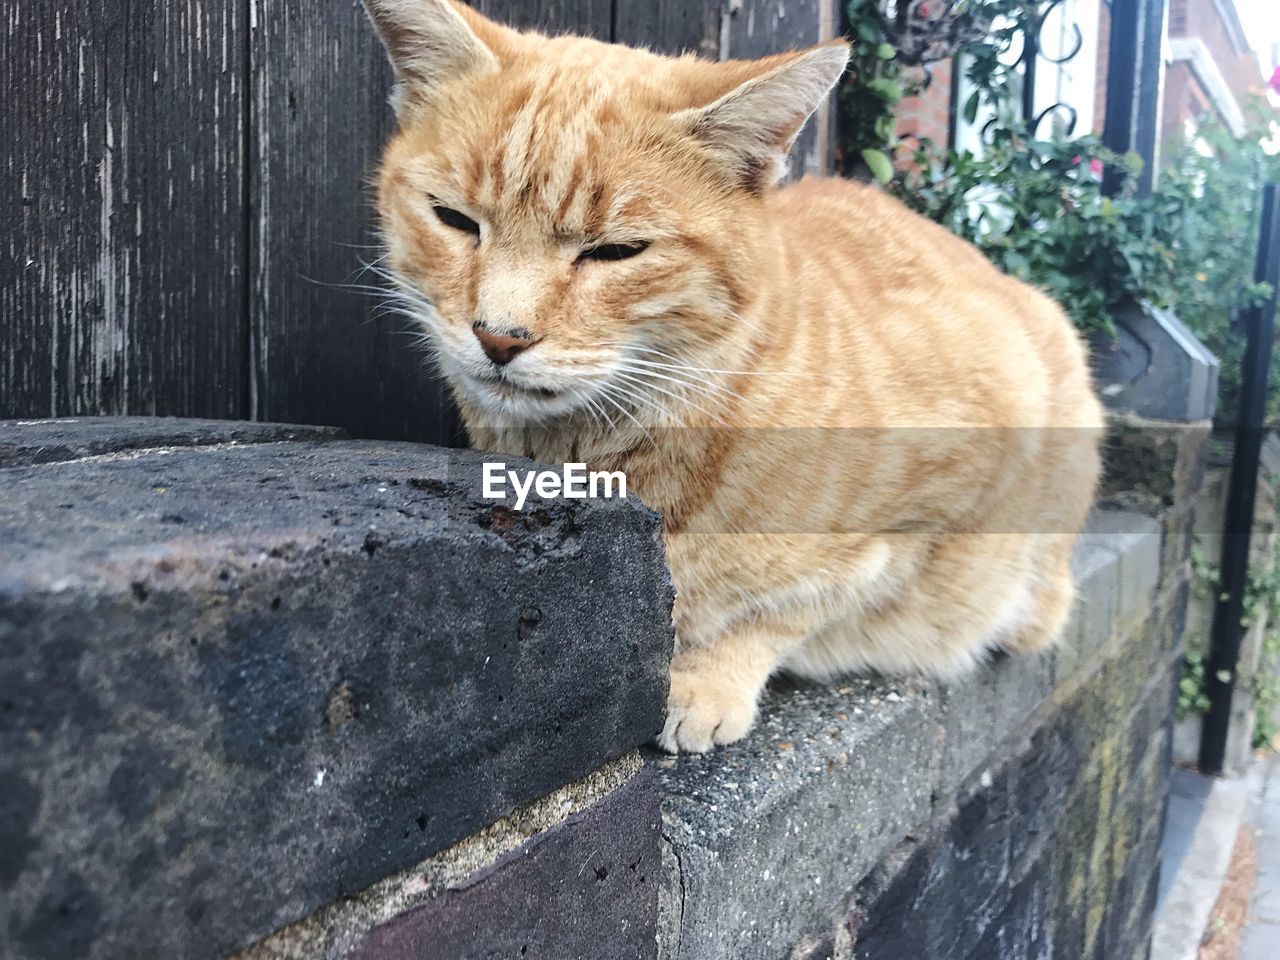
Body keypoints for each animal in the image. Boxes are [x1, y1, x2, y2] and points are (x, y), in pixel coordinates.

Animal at [363, 0, 1111, 752]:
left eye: (616, 252)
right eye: (454, 220)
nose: (499, 335)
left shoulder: (950, 492)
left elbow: (797, 605)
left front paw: (705, 676)